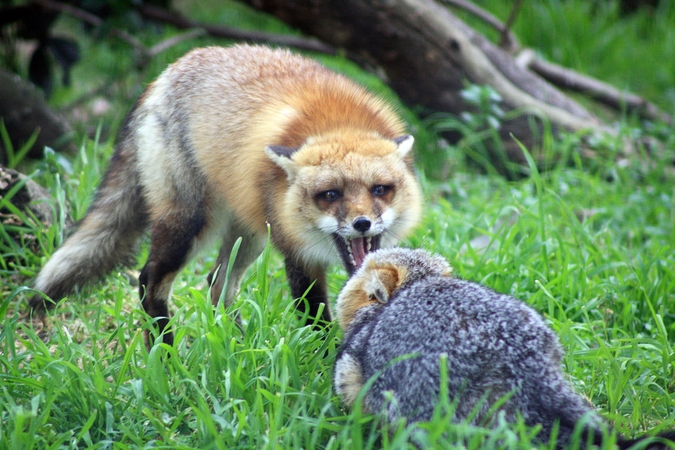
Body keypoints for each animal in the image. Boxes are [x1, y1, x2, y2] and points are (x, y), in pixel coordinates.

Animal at [31, 44, 426, 344]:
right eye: (329, 194)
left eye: (380, 190)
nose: (362, 223)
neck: (338, 124)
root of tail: (167, 72)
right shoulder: (297, 252)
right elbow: (315, 317)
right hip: (190, 225)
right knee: (149, 281)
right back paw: (165, 352)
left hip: (250, 233)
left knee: (217, 285)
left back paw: (237, 346)